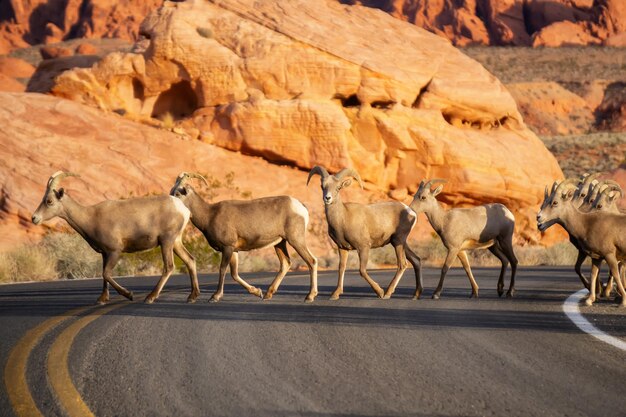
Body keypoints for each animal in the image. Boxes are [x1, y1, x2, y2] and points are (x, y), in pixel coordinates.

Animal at [31, 171, 197, 304]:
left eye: (49, 201)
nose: (34, 218)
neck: (90, 217)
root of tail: (183, 209)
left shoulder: (115, 252)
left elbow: (106, 274)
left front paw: (128, 295)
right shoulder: (105, 254)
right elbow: (104, 276)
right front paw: (102, 299)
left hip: (166, 241)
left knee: (169, 266)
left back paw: (150, 297)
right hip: (175, 242)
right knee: (190, 260)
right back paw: (192, 296)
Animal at [169, 172, 316, 302]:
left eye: (178, 193)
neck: (209, 215)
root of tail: (300, 207)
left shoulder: (227, 247)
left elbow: (222, 269)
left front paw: (215, 297)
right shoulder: (234, 251)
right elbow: (234, 274)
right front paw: (257, 292)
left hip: (295, 240)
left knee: (312, 261)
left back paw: (309, 297)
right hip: (280, 243)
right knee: (286, 263)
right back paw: (267, 294)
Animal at [306, 165, 422, 300]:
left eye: (338, 187)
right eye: (322, 186)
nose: (327, 198)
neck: (343, 218)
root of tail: (411, 212)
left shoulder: (363, 247)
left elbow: (362, 271)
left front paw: (379, 292)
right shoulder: (342, 248)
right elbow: (341, 268)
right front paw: (335, 294)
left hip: (399, 241)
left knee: (402, 264)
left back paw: (387, 293)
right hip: (400, 243)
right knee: (416, 260)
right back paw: (416, 294)